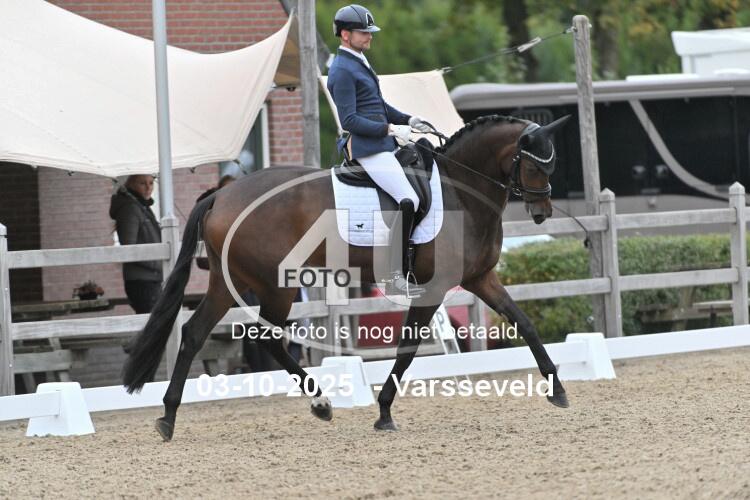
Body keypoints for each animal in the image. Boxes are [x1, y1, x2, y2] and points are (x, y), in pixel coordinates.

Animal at [123, 114, 572, 441]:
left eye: (552, 164)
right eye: (535, 166)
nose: (542, 212)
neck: (462, 190)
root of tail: (221, 194)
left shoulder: (480, 279)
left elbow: (525, 323)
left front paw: (558, 389)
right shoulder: (433, 289)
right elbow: (407, 348)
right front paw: (384, 411)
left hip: (228, 281)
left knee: (196, 333)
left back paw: (169, 417)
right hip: (278, 283)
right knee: (266, 337)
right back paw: (319, 403)